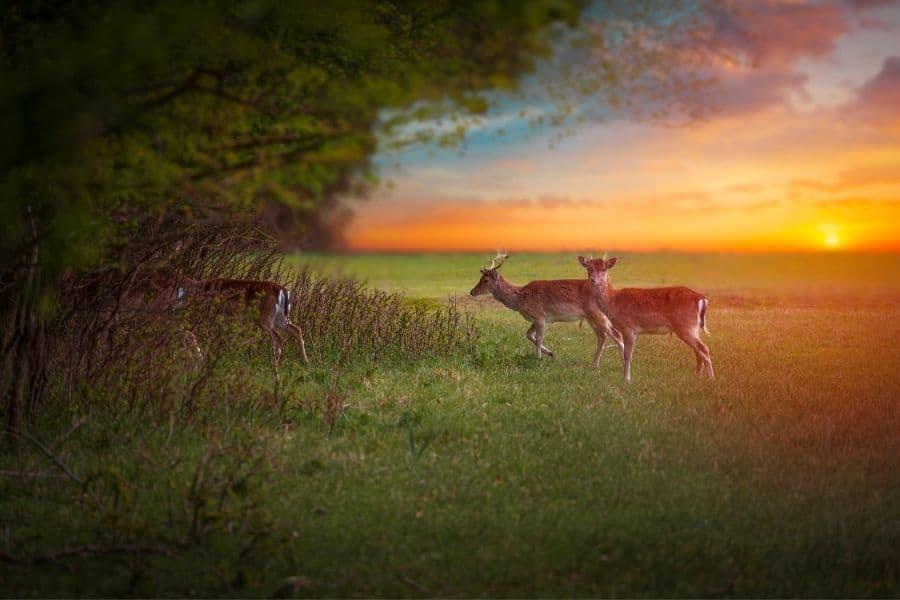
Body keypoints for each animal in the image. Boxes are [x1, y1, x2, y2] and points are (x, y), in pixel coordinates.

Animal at [468, 252, 624, 366]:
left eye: (486, 280)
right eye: (480, 278)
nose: (472, 291)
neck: (521, 299)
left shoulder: (540, 316)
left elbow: (538, 338)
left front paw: (538, 359)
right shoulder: (536, 318)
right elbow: (529, 335)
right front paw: (550, 353)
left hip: (597, 313)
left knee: (616, 334)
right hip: (590, 317)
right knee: (602, 336)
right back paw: (594, 364)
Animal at [576, 256, 716, 380]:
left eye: (604, 268)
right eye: (588, 268)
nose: (593, 279)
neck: (613, 301)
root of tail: (701, 299)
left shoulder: (628, 327)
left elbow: (627, 354)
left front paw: (626, 379)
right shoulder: (633, 331)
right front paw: (626, 377)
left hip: (685, 326)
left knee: (704, 349)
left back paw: (711, 379)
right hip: (693, 327)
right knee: (698, 350)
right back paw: (698, 377)